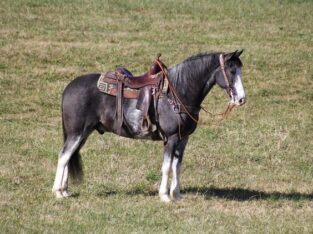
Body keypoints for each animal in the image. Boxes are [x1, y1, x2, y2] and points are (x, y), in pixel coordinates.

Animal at [51, 49, 246, 201]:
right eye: (231, 70)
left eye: (240, 70)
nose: (241, 99)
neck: (178, 93)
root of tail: (69, 87)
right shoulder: (171, 138)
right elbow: (166, 166)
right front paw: (164, 196)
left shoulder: (183, 139)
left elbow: (177, 166)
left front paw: (177, 195)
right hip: (76, 132)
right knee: (63, 156)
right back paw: (58, 192)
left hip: (83, 134)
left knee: (69, 156)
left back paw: (65, 191)